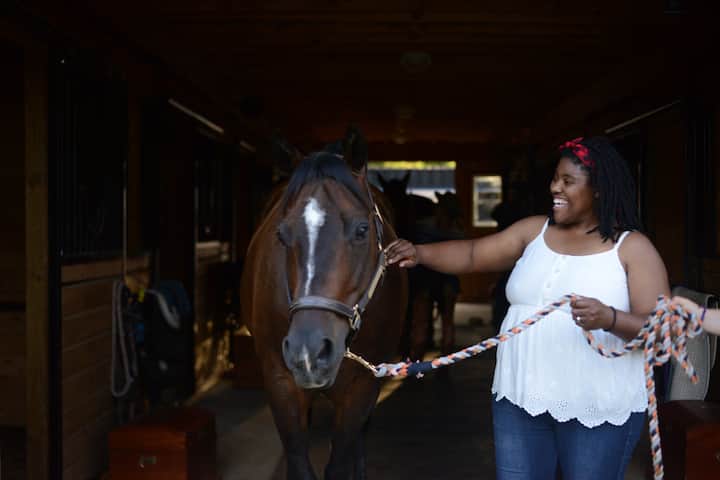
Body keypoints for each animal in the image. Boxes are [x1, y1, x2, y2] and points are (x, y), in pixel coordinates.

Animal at [240, 127, 408, 480]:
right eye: (280, 233)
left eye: (362, 230)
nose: (309, 351)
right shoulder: (281, 383)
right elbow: (299, 462)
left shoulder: (363, 386)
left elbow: (340, 460)